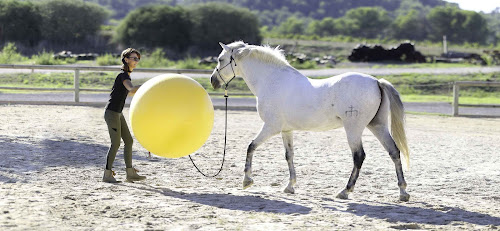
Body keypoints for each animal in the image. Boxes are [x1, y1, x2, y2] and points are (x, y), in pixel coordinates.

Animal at [211, 41, 410, 200]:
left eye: (220, 59)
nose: (213, 81)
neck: (272, 81)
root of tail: (376, 82)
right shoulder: (286, 130)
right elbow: (289, 155)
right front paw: (290, 186)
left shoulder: (271, 127)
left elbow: (251, 146)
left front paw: (247, 180)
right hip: (377, 126)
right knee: (394, 152)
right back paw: (403, 193)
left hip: (354, 129)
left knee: (359, 156)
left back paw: (345, 191)